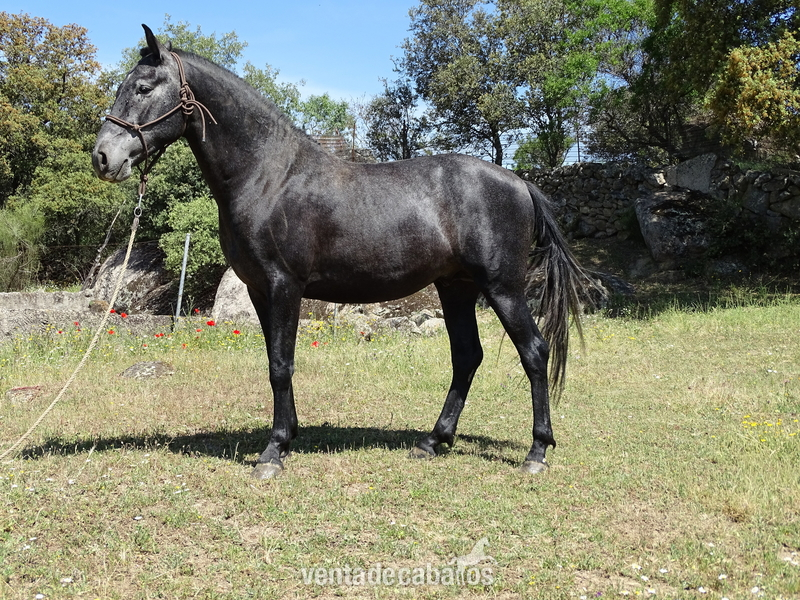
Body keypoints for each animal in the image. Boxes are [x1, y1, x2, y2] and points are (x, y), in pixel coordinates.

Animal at [92, 25, 590, 479]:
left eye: (142, 87)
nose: (102, 157)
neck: (267, 175)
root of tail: (519, 183)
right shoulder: (258, 290)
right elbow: (275, 361)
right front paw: (288, 435)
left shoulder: (284, 285)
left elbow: (281, 364)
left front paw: (273, 452)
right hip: (456, 288)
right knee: (467, 356)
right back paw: (433, 441)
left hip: (502, 287)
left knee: (534, 351)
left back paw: (536, 452)